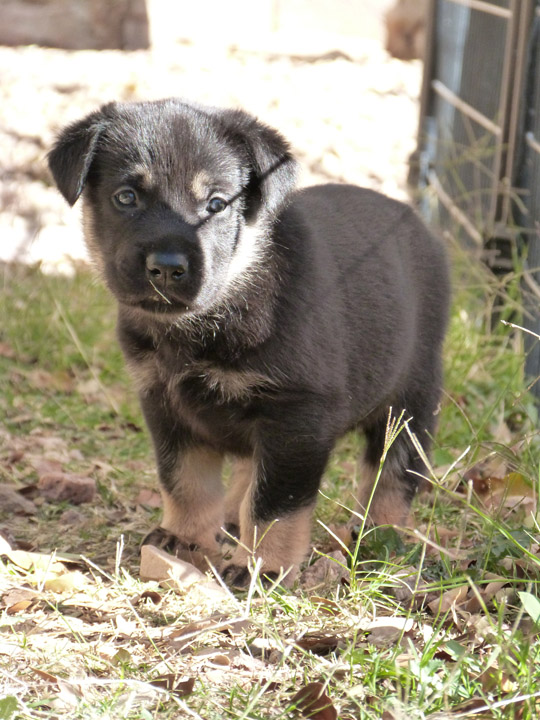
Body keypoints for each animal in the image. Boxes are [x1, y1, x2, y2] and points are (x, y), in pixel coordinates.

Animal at [48, 98, 450, 588]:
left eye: (217, 204)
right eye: (126, 197)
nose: (166, 267)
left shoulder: (296, 416)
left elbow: (275, 503)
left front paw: (263, 565)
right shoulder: (164, 403)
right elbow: (185, 481)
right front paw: (184, 538)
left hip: (410, 399)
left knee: (393, 472)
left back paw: (380, 536)